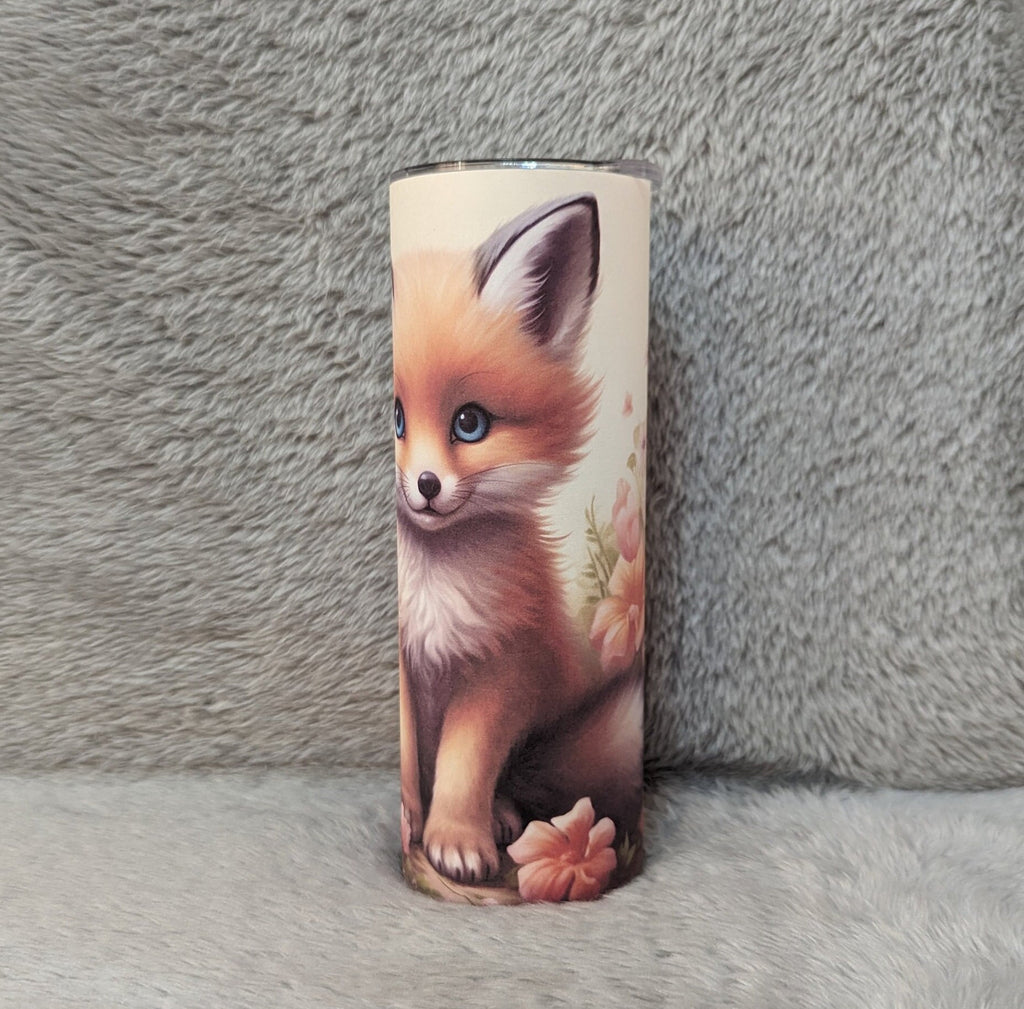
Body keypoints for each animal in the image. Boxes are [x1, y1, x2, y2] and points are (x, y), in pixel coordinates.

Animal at [392, 193, 643, 884]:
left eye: (469, 423)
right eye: (395, 419)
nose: (425, 486)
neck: (439, 581)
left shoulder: (505, 662)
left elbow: (465, 762)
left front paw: (457, 836)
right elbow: (417, 764)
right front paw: (419, 825)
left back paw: (503, 815)